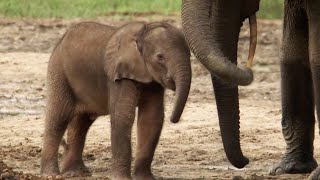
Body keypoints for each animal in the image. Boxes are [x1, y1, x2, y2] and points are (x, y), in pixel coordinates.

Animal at [39, 21, 190, 179]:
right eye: (160, 57)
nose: (174, 120)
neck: (141, 33)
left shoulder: (153, 81)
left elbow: (151, 117)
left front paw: (145, 178)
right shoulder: (118, 77)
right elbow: (123, 115)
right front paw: (122, 178)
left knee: (82, 122)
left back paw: (76, 172)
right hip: (59, 73)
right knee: (59, 117)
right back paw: (51, 175)